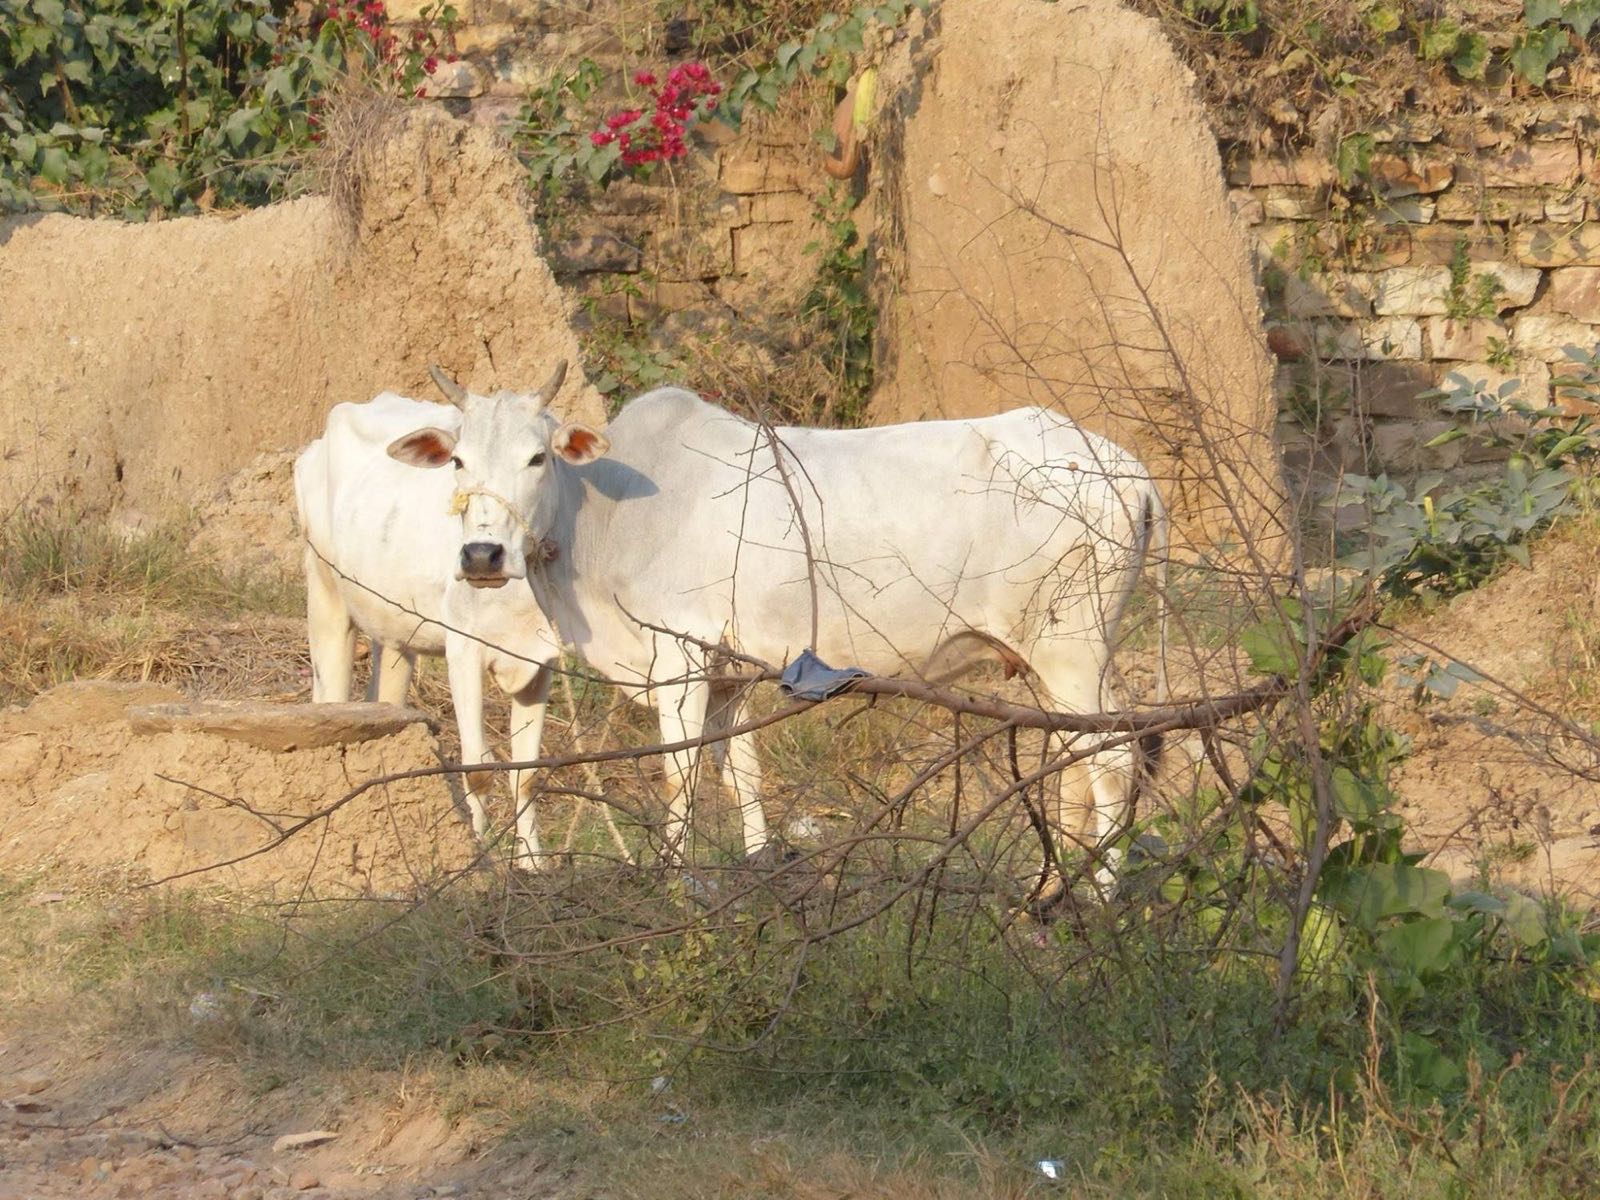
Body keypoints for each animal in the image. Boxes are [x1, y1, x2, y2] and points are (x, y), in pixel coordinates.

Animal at [291, 362, 607, 867]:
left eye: (538, 458)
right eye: (457, 461)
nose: (481, 556)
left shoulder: (540, 661)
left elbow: (527, 775)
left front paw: (533, 865)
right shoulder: (463, 652)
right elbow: (478, 769)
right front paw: (485, 862)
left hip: (394, 634)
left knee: (387, 699)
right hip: (324, 594)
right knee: (330, 696)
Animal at [392, 377, 1168, 885]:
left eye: (537, 456)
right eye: (458, 460)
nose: (483, 556)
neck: (606, 517)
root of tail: (1125, 469)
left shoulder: (679, 656)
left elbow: (679, 777)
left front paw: (675, 889)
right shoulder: (730, 674)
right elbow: (743, 777)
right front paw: (757, 866)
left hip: (1072, 650)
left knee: (1111, 759)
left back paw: (1093, 897)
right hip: (1054, 662)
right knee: (1074, 760)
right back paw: (1046, 887)